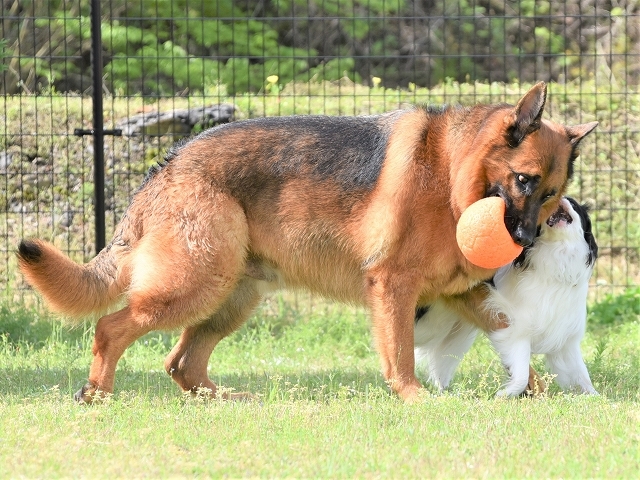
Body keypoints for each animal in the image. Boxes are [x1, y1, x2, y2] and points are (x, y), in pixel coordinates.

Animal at [416, 197, 600, 396]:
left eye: (573, 204)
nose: (561, 198)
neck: (557, 256)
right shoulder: (513, 332)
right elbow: (521, 373)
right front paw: (506, 394)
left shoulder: (566, 342)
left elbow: (581, 376)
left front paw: (596, 397)